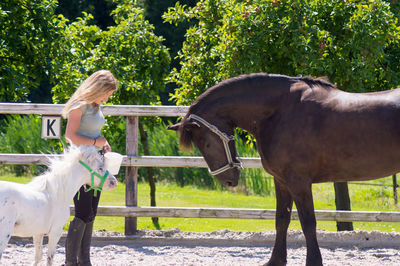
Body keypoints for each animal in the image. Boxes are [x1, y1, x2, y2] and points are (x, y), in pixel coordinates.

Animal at [167, 72, 400, 266]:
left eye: (205, 143)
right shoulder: (281, 181)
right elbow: (282, 220)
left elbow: (308, 223)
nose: (228, 180)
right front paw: (275, 261)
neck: (279, 111)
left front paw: (313, 262)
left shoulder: (299, 182)